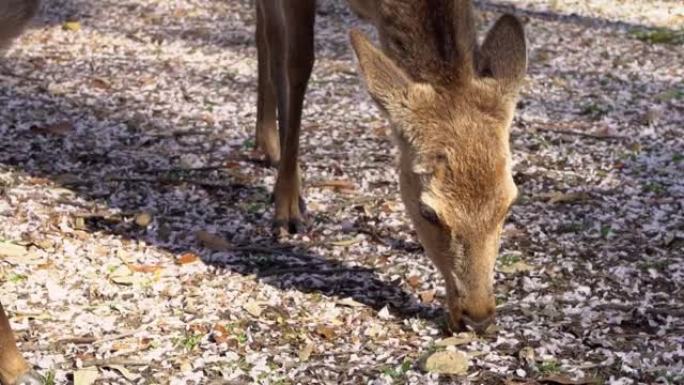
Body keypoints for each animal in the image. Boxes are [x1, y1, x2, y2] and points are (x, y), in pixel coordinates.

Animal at [254, 0, 528, 330]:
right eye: (428, 212)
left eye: (509, 204)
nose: (478, 319)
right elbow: (298, 62)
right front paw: (288, 206)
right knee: (271, 36)